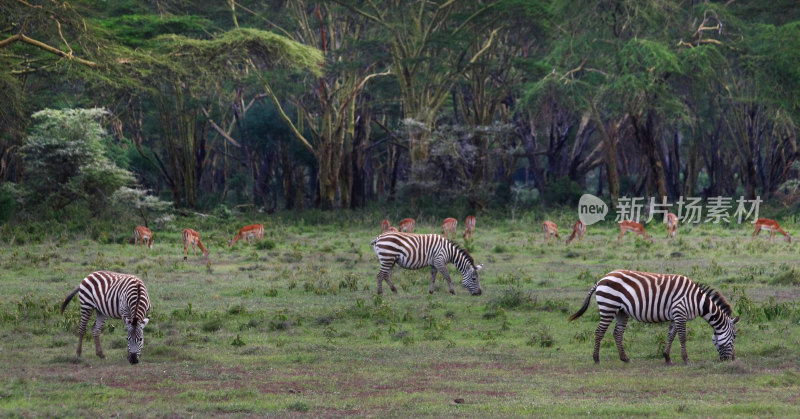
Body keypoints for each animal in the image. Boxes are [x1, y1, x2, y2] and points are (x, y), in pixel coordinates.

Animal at [564, 272, 740, 364]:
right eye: (734, 336)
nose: (732, 360)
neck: (697, 300)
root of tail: (602, 278)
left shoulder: (675, 315)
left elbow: (670, 336)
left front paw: (667, 357)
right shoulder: (680, 312)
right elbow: (682, 337)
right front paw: (686, 359)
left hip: (621, 311)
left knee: (617, 333)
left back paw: (625, 358)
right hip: (608, 306)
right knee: (599, 332)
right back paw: (596, 358)